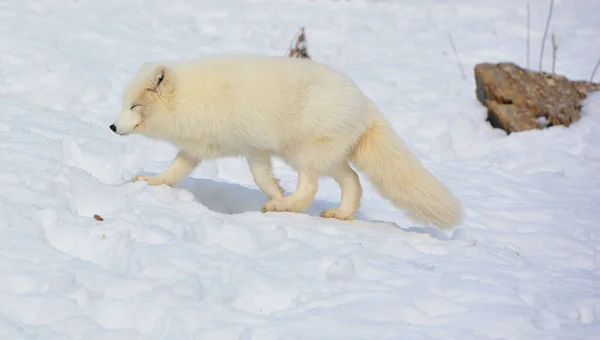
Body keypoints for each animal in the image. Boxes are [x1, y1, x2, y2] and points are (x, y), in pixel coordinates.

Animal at [109, 55, 464, 228]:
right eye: (124, 104)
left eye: (134, 106)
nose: (112, 127)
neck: (189, 98)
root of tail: (365, 104)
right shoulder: (202, 148)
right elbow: (174, 171)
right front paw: (151, 181)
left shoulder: (252, 146)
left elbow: (261, 178)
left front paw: (277, 197)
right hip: (330, 157)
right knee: (353, 181)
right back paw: (341, 214)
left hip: (302, 153)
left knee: (311, 186)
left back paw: (286, 206)